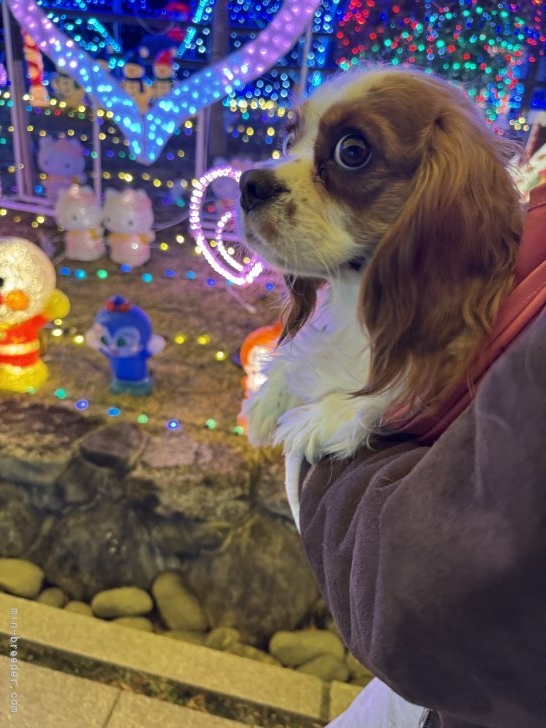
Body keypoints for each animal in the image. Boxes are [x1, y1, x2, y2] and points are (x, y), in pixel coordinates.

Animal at [237, 65, 523, 528]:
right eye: (288, 138)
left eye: (352, 151)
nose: (249, 183)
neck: (355, 294)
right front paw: (268, 396)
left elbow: (408, 382)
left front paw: (327, 415)